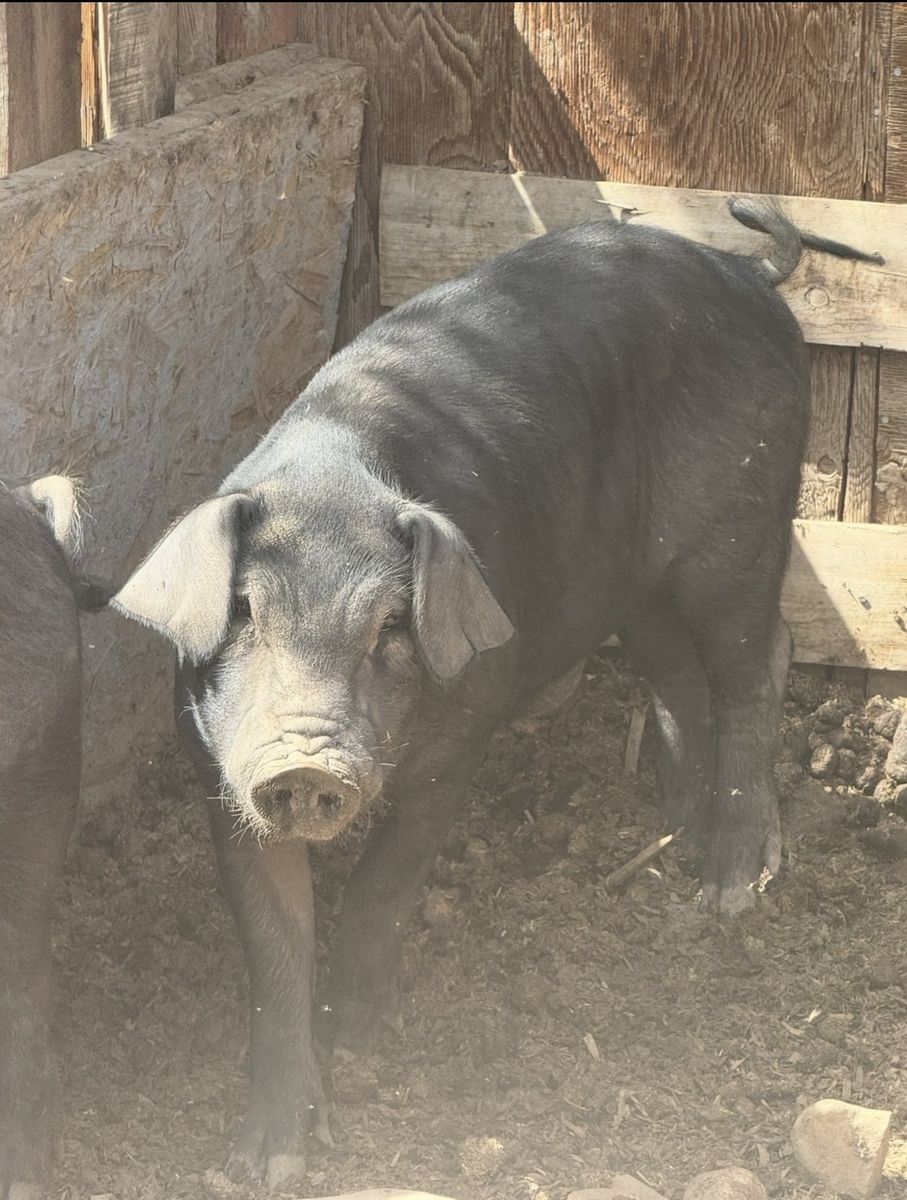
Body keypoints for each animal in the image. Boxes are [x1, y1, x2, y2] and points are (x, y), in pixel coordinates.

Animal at [111, 199, 880, 1186]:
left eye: (389, 627)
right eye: (244, 612)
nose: (305, 762)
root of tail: (742, 272)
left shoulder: (460, 741)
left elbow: (383, 886)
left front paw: (357, 1037)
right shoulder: (217, 772)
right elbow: (273, 951)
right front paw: (266, 1164)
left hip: (741, 523)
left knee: (758, 660)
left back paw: (725, 891)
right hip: (635, 581)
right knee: (676, 672)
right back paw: (672, 830)